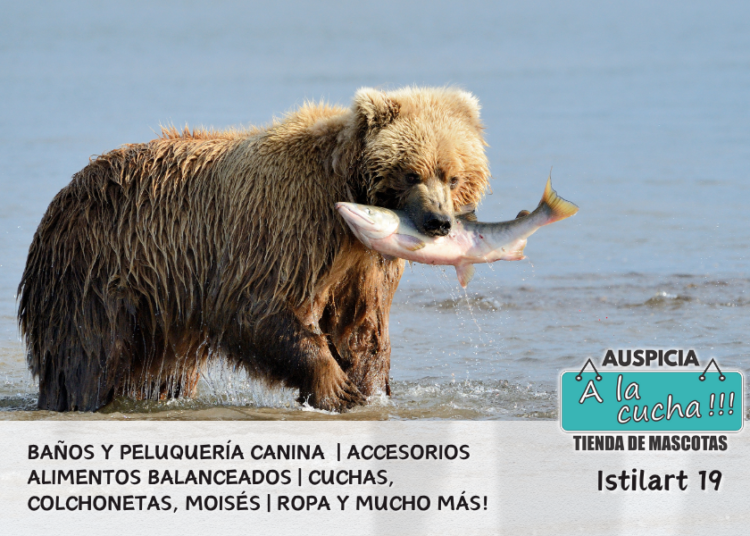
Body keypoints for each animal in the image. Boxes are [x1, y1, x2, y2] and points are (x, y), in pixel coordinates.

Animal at [17, 87, 490, 412]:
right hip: (97, 271)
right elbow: (257, 307)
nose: (439, 222)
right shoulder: (285, 228)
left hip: (159, 304)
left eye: (452, 176)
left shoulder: (363, 263)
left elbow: (361, 326)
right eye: (412, 173)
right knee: (87, 353)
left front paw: (367, 387)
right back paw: (78, 398)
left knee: (165, 370)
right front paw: (334, 385)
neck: (346, 194)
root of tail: (63, 196)